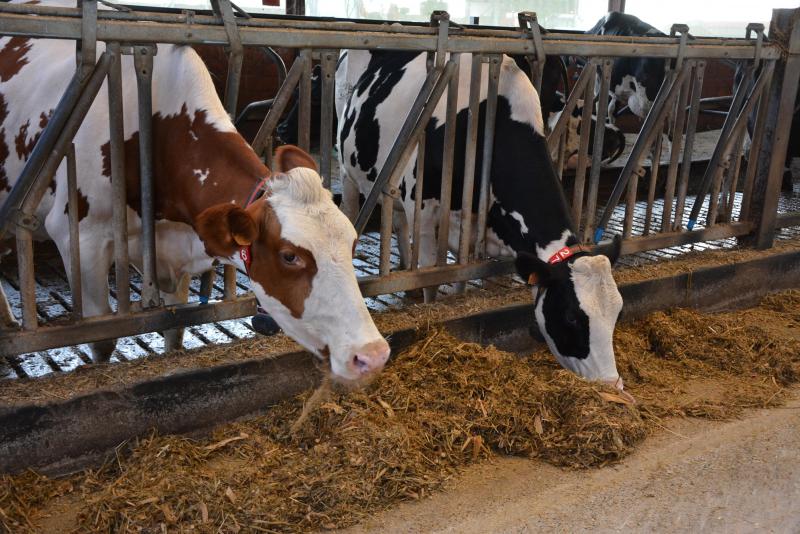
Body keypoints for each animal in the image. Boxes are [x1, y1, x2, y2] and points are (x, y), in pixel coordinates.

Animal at [0, 1, 390, 386]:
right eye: (289, 256)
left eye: (352, 243)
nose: (371, 354)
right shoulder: (81, 240)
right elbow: (102, 341)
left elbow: (175, 331)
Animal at [334, 50, 628, 390]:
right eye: (570, 316)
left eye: (618, 313)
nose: (613, 384)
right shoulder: (425, 210)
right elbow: (431, 283)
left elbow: (463, 285)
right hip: (349, 168)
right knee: (353, 210)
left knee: (396, 220)